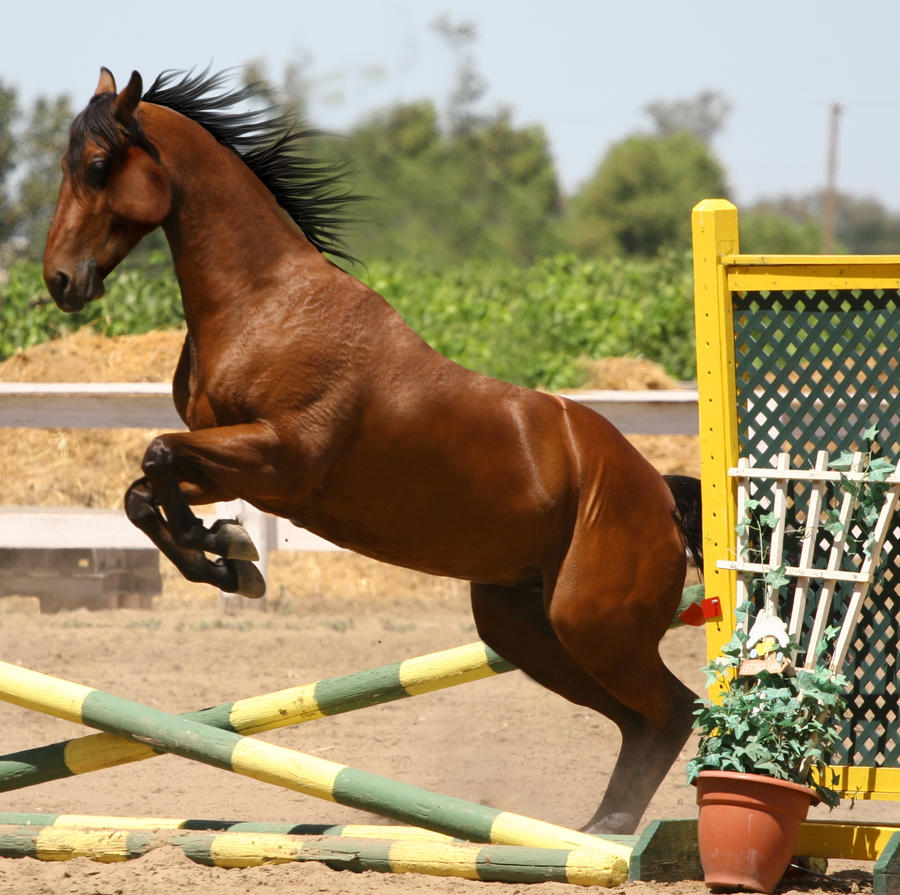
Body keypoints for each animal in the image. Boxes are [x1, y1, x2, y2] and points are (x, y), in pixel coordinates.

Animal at [44, 66, 704, 836]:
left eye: (96, 165)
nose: (60, 281)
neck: (264, 302)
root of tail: (658, 492)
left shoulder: (280, 460)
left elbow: (155, 456)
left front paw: (228, 551)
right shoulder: (239, 466)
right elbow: (143, 489)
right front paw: (227, 555)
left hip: (591, 626)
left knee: (671, 709)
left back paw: (610, 838)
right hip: (526, 629)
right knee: (640, 720)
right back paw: (596, 833)